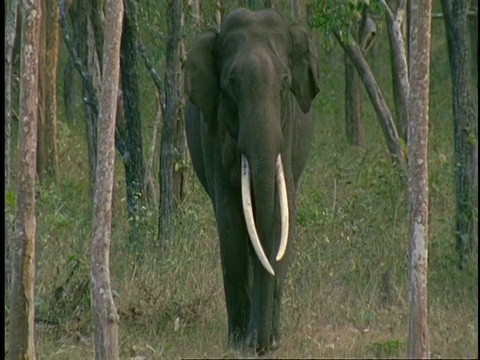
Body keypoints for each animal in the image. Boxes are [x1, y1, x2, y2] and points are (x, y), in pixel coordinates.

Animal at [186, 7, 320, 354]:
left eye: (285, 82)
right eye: (231, 82)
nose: (260, 343)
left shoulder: (288, 132)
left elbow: (284, 212)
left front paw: (270, 342)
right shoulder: (212, 129)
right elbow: (230, 217)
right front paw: (237, 344)